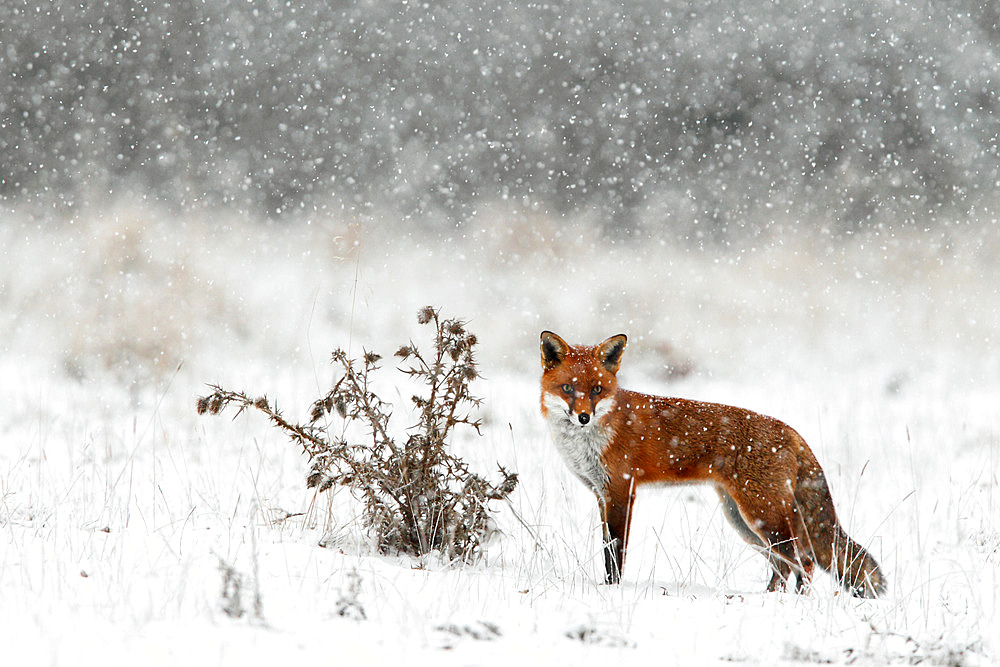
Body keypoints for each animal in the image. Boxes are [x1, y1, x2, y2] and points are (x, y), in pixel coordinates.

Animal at [540, 332, 884, 596]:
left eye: (597, 389)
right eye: (567, 389)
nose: (584, 417)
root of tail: (791, 431)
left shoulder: (622, 492)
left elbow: (614, 554)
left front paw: (612, 591)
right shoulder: (601, 495)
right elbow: (606, 549)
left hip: (762, 515)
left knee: (803, 561)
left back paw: (795, 603)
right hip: (744, 521)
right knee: (782, 565)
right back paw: (769, 599)